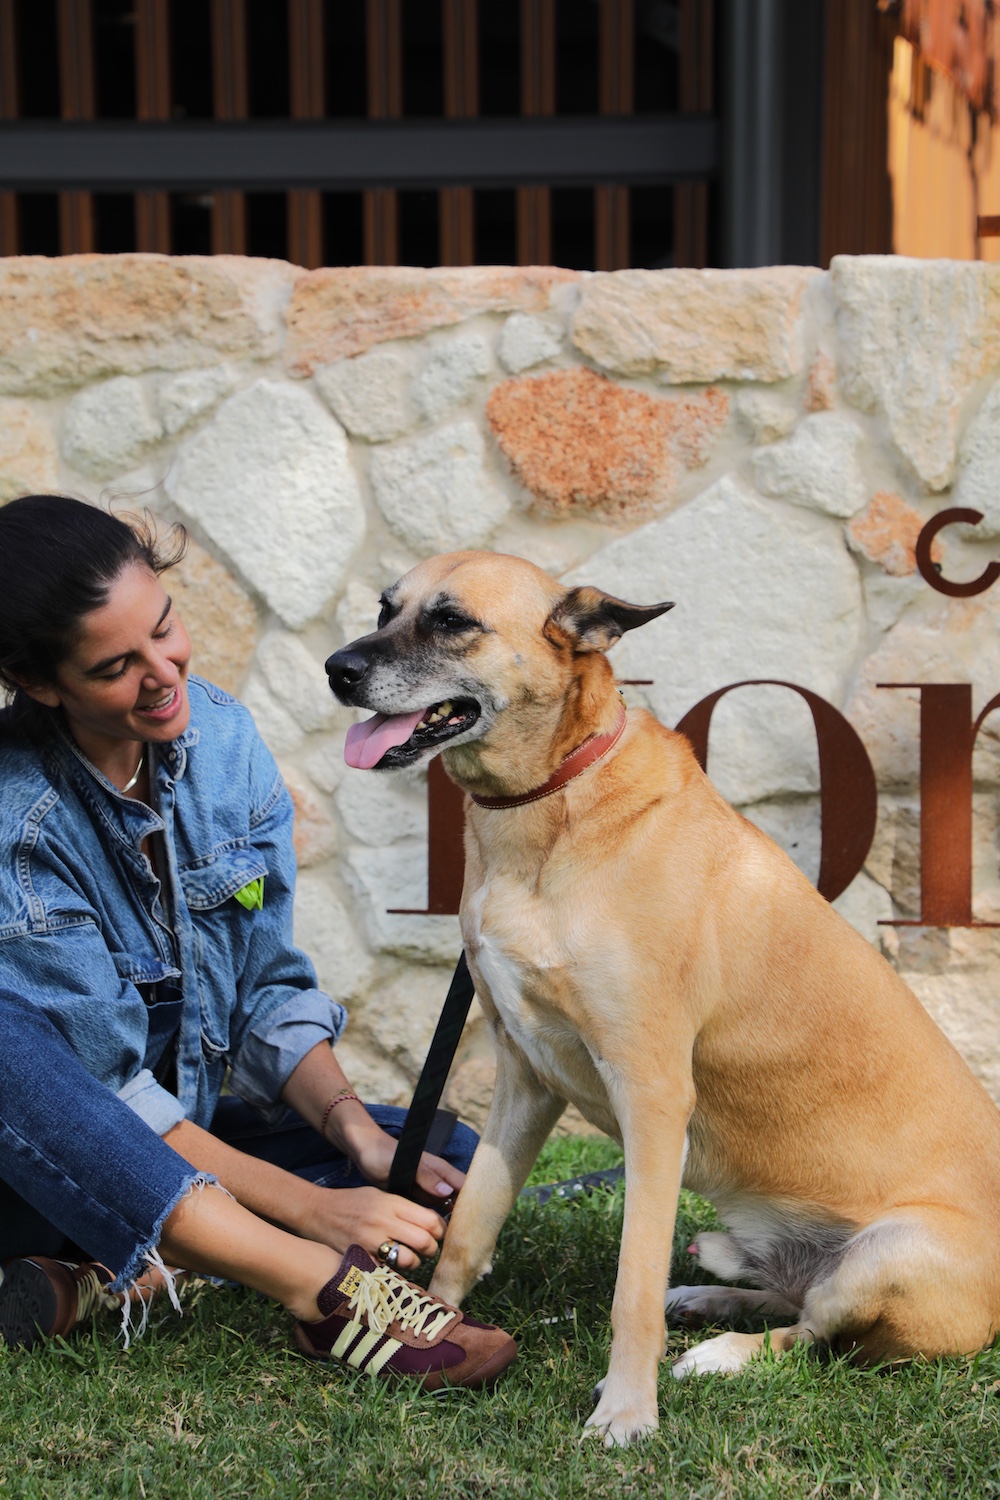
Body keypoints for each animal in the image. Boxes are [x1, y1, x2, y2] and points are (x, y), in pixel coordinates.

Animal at [326, 549, 1000, 1447]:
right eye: (384, 607)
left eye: (451, 621)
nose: (337, 669)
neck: (552, 806)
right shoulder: (524, 1082)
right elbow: (469, 1227)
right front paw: (425, 1322)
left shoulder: (651, 1100)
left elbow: (632, 1283)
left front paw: (626, 1410)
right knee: (789, 1295)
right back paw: (711, 1297)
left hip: (894, 1254)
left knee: (812, 1332)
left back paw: (720, 1351)